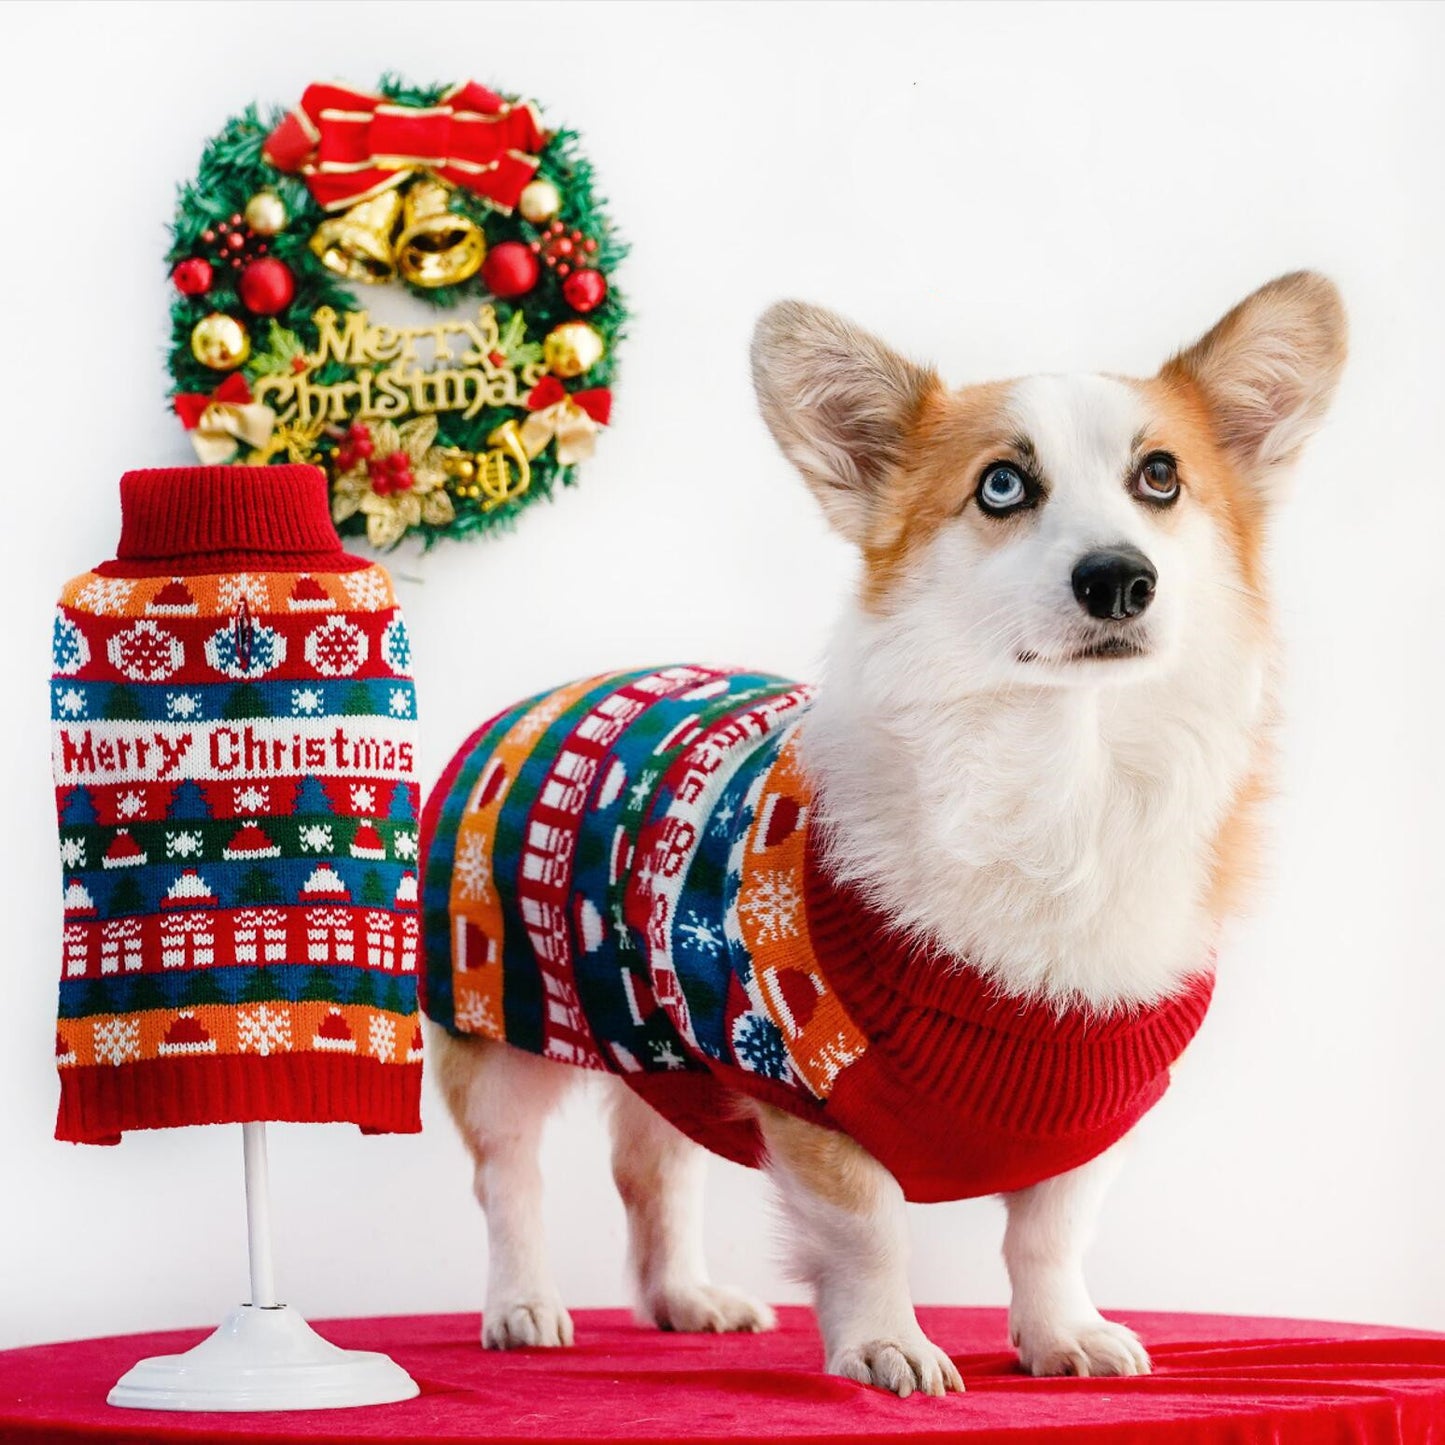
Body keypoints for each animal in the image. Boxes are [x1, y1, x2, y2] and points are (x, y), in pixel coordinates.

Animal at [421, 268, 1346, 1387]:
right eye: (1002, 486)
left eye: (1160, 475)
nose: (1119, 578)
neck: (1059, 775)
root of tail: (537, 699)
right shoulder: (803, 1086)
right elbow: (868, 1229)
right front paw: (885, 1343)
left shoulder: (1093, 1118)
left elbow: (1050, 1232)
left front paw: (1062, 1332)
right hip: (496, 1029)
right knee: (508, 1181)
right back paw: (521, 1302)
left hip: (662, 1047)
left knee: (652, 1168)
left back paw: (681, 1296)